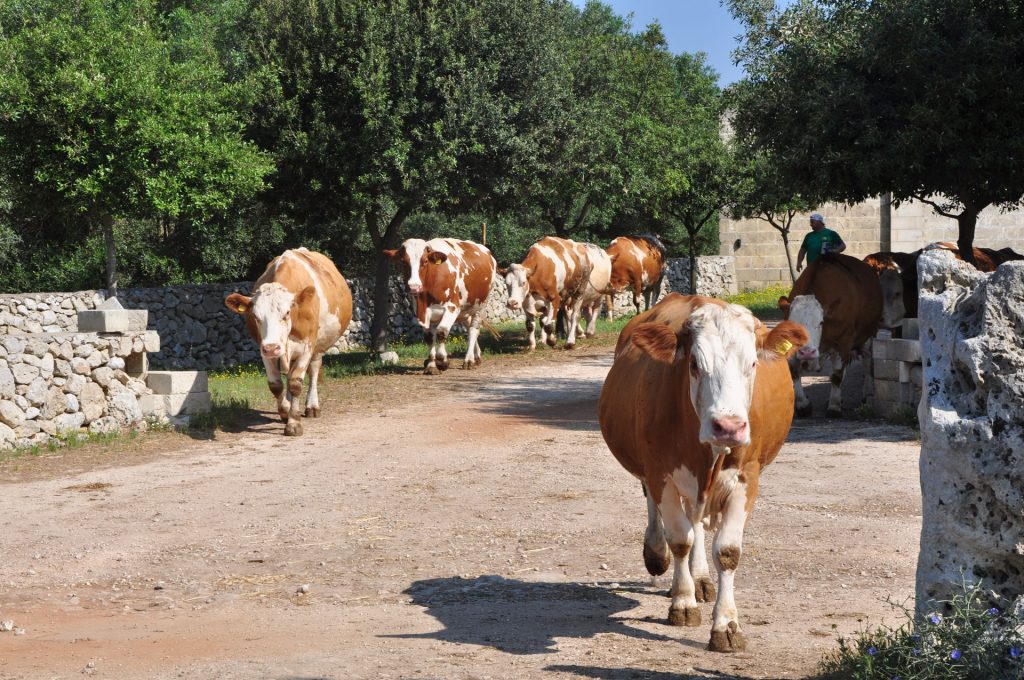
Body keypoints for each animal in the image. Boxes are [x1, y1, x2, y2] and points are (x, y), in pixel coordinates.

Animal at [224, 248, 352, 436]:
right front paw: (285, 411)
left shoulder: (307, 346)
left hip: (318, 346)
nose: (272, 348)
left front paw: (293, 423)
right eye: (255, 316)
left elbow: (296, 382)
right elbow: (276, 385)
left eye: (286, 313)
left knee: (313, 370)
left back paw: (312, 406)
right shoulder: (264, 349)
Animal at [385, 237, 495, 376]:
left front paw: (442, 361)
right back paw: (477, 357)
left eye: (425, 261)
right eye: (404, 261)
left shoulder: (452, 308)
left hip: (480, 305)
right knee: (470, 327)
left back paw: (469, 360)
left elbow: (441, 332)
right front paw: (431, 365)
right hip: (466, 310)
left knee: (473, 330)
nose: (414, 287)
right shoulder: (423, 312)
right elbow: (429, 337)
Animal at [598, 292, 806, 655]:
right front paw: (682, 602)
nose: (728, 426)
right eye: (695, 364)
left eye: (753, 364)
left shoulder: (747, 478)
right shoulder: (660, 473)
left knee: (696, 521)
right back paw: (659, 555)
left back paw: (700, 578)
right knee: (661, 513)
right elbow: (680, 538)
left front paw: (726, 625)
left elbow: (727, 551)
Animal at [778, 251, 884, 417]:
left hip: (869, 334)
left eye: (821, 323)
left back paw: (866, 394)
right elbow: (794, 372)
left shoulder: (843, 342)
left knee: (867, 364)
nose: (806, 352)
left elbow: (836, 375)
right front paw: (803, 405)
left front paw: (834, 406)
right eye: (791, 325)